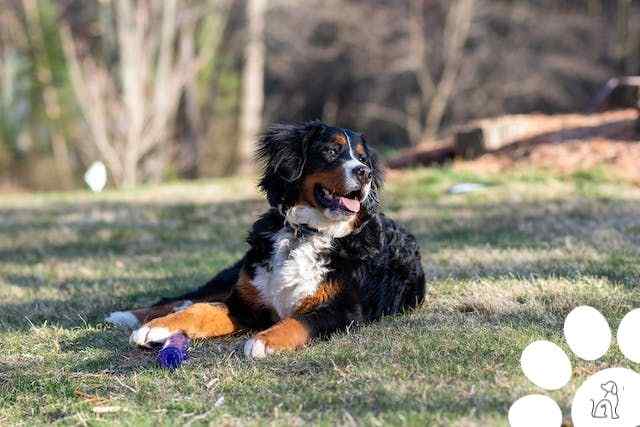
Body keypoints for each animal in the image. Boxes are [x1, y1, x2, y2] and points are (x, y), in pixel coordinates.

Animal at [106, 122, 424, 360]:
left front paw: (264, 340)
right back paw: (128, 316)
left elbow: (301, 321)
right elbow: (202, 310)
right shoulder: (245, 302)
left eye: (363, 158)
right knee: (186, 298)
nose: (364, 172)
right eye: (331, 150)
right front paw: (156, 328)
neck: (305, 233)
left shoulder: (344, 309)